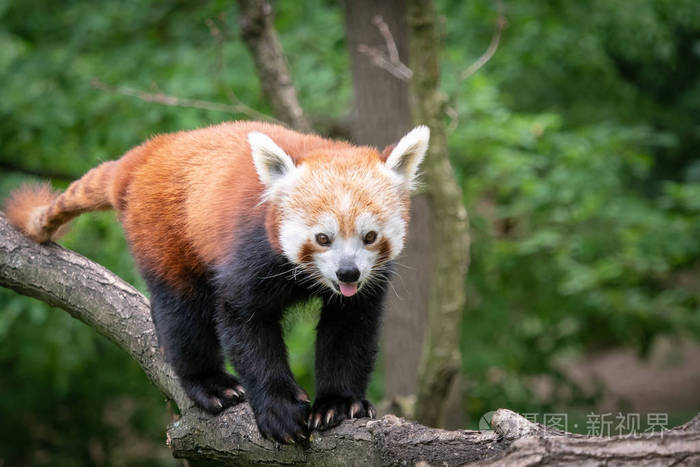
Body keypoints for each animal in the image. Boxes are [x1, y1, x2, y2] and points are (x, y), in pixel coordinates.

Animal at [5, 120, 430, 442]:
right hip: (166, 232)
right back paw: (209, 383)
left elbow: (349, 329)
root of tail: (149, 153)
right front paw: (279, 410)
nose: (347, 272)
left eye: (369, 236)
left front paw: (338, 403)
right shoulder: (250, 251)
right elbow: (243, 323)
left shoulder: (363, 289)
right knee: (183, 312)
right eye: (322, 238)